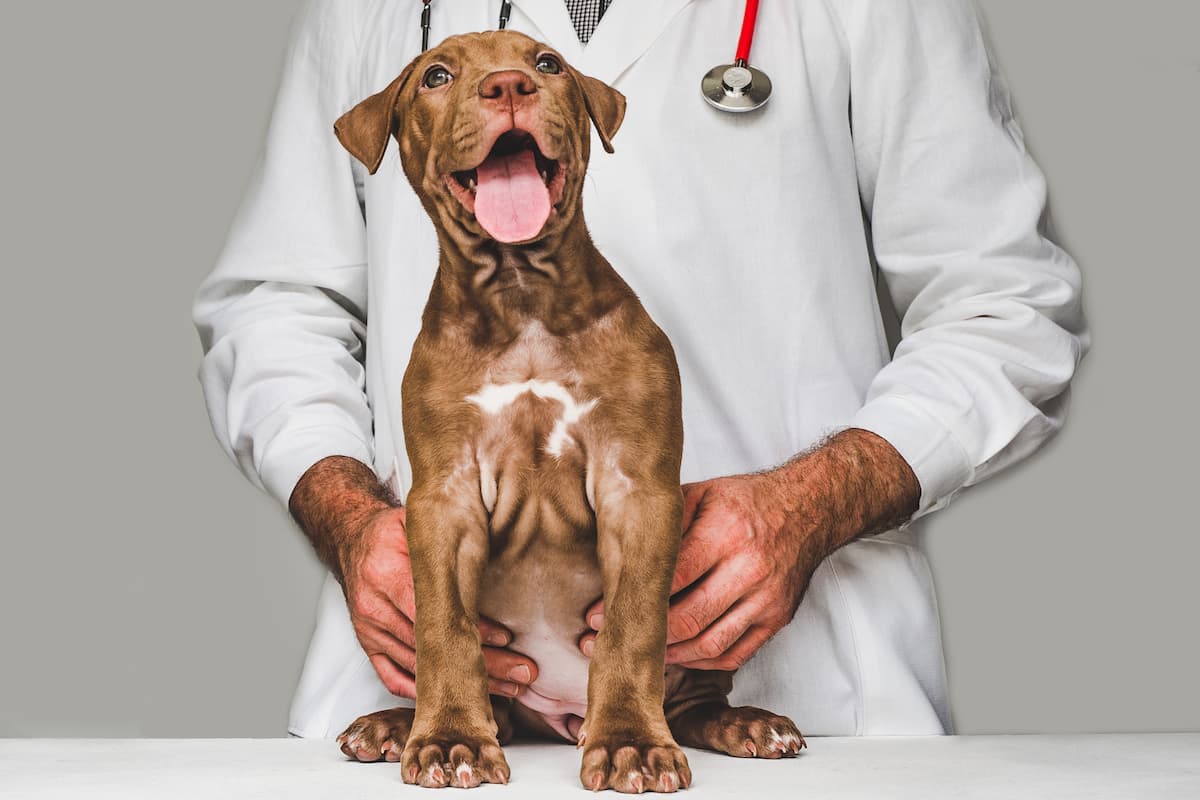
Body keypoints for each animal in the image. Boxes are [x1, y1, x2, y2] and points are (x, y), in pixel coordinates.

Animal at [328, 32, 801, 796]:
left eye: (547, 64)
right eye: (436, 76)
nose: (509, 85)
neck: (521, 294)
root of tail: (557, 719)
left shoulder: (637, 491)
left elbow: (630, 629)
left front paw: (631, 742)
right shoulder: (443, 500)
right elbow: (444, 629)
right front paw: (450, 737)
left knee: (696, 700)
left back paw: (748, 725)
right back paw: (394, 725)